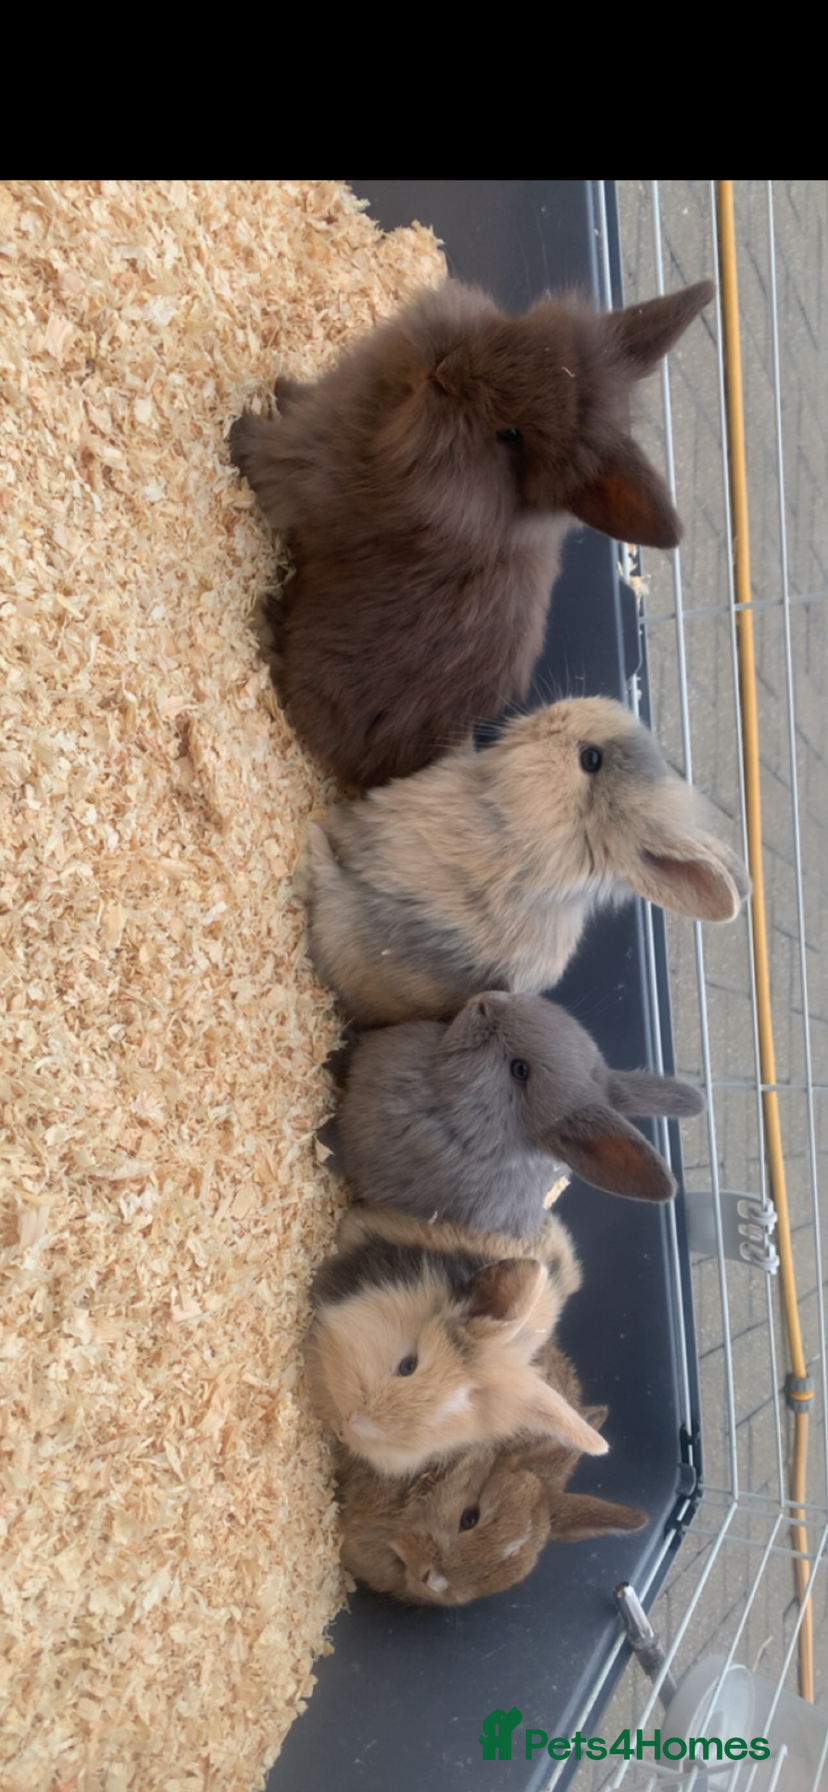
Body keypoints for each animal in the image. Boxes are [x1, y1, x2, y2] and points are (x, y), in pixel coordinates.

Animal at [228, 276, 714, 788]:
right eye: (523, 329)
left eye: (512, 435)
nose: (447, 368)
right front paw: (281, 388)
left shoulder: (311, 464)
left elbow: (268, 457)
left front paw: (237, 429)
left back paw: (266, 616)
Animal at [295, 694, 750, 1025]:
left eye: (590, 759)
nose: (558, 710)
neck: (536, 834)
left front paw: (316, 829)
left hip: (343, 916)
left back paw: (311, 835)